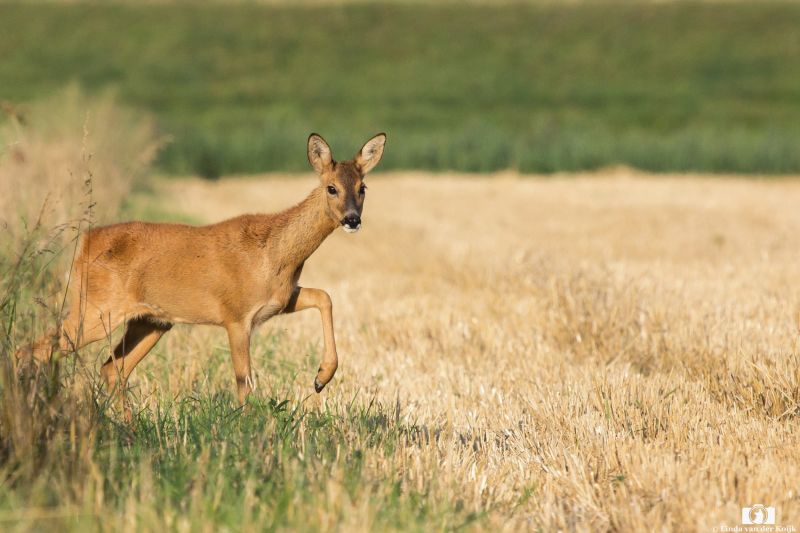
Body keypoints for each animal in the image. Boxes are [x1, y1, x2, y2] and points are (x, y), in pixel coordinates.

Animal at [22, 133, 386, 415]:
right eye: (331, 188)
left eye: (363, 187)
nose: (352, 219)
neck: (275, 253)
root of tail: (83, 244)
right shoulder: (236, 314)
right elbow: (243, 379)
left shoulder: (280, 300)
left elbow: (325, 296)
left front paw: (321, 378)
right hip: (96, 309)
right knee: (33, 349)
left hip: (151, 321)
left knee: (112, 368)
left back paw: (126, 425)